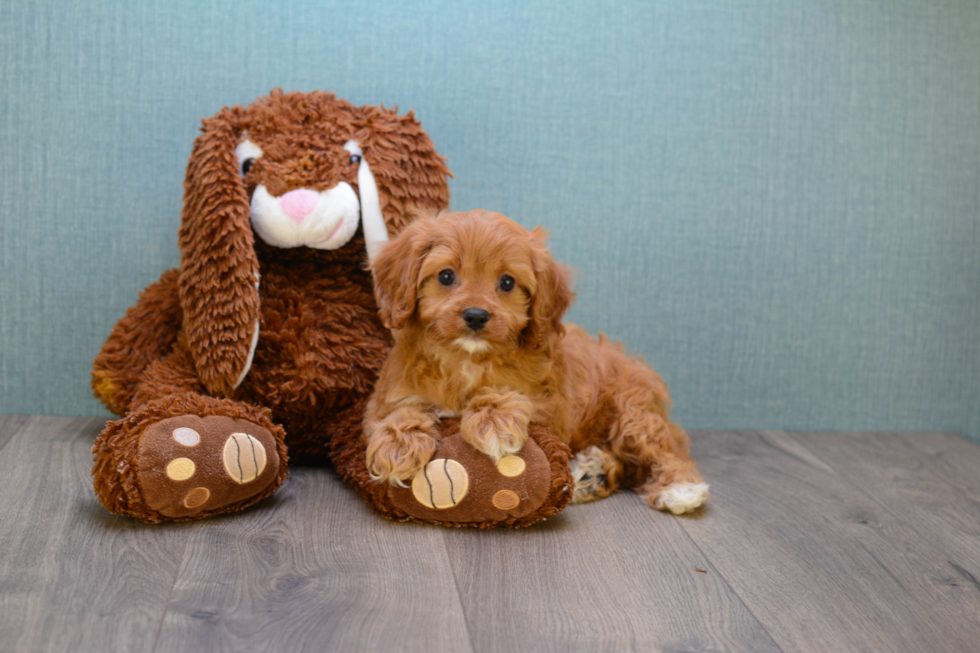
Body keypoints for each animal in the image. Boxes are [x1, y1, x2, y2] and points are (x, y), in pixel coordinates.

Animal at [364, 210, 708, 516]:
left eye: (507, 283)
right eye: (446, 276)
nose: (476, 315)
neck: (467, 358)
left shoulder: (552, 409)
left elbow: (512, 395)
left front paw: (494, 420)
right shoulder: (390, 394)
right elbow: (402, 410)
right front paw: (398, 444)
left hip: (634, 413)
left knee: (664, 450)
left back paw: (681, 489)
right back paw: (591, 474)